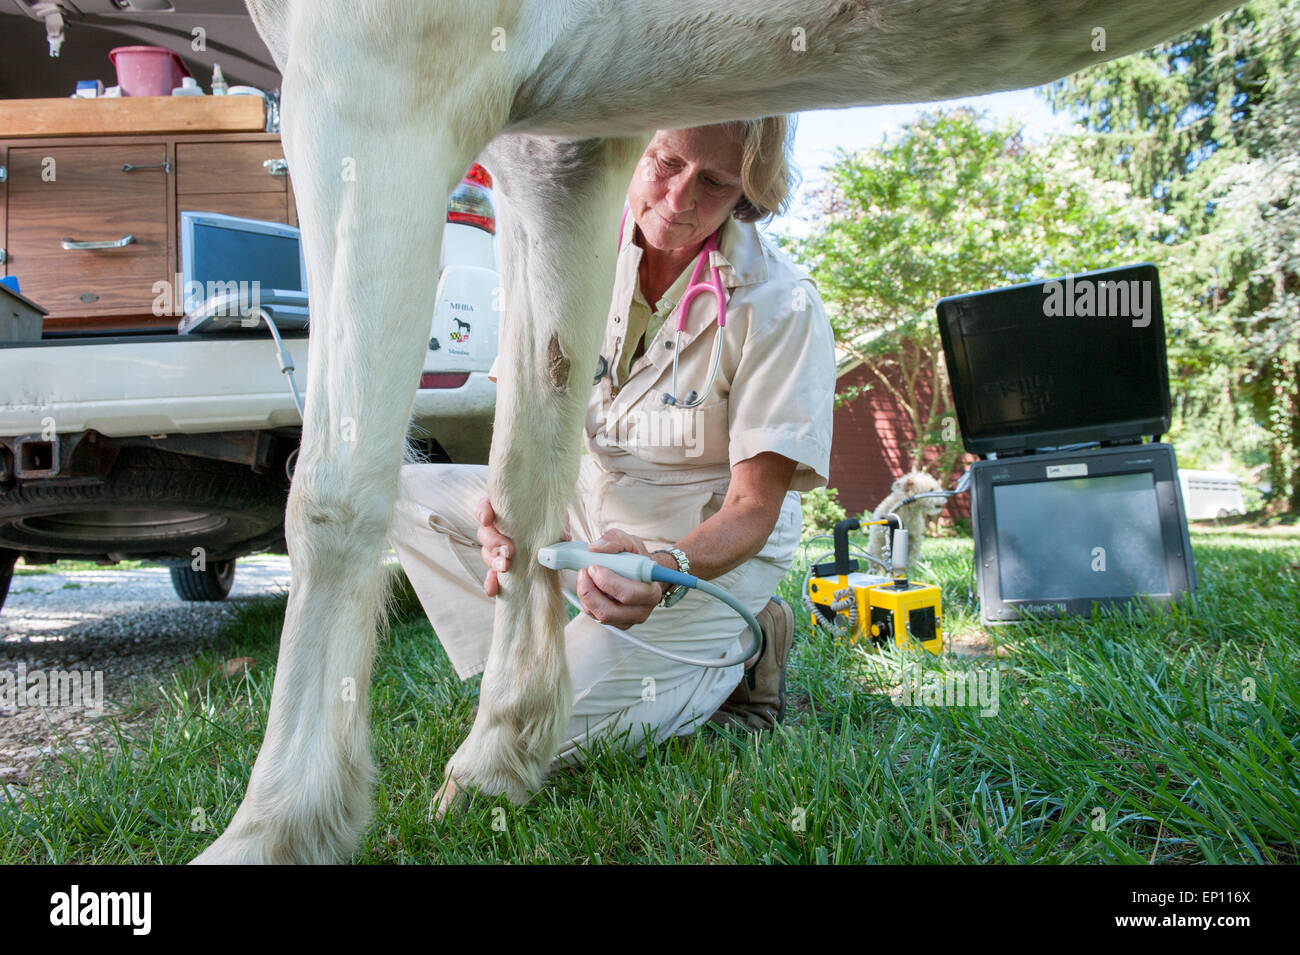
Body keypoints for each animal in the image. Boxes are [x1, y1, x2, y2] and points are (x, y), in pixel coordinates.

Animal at [189, 0, 1227, 867]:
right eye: (669, 169)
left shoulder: (377, 73)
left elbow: (333, 495)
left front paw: (277, 826)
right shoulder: (561, 151)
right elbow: (525, 473)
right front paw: (497, 760)